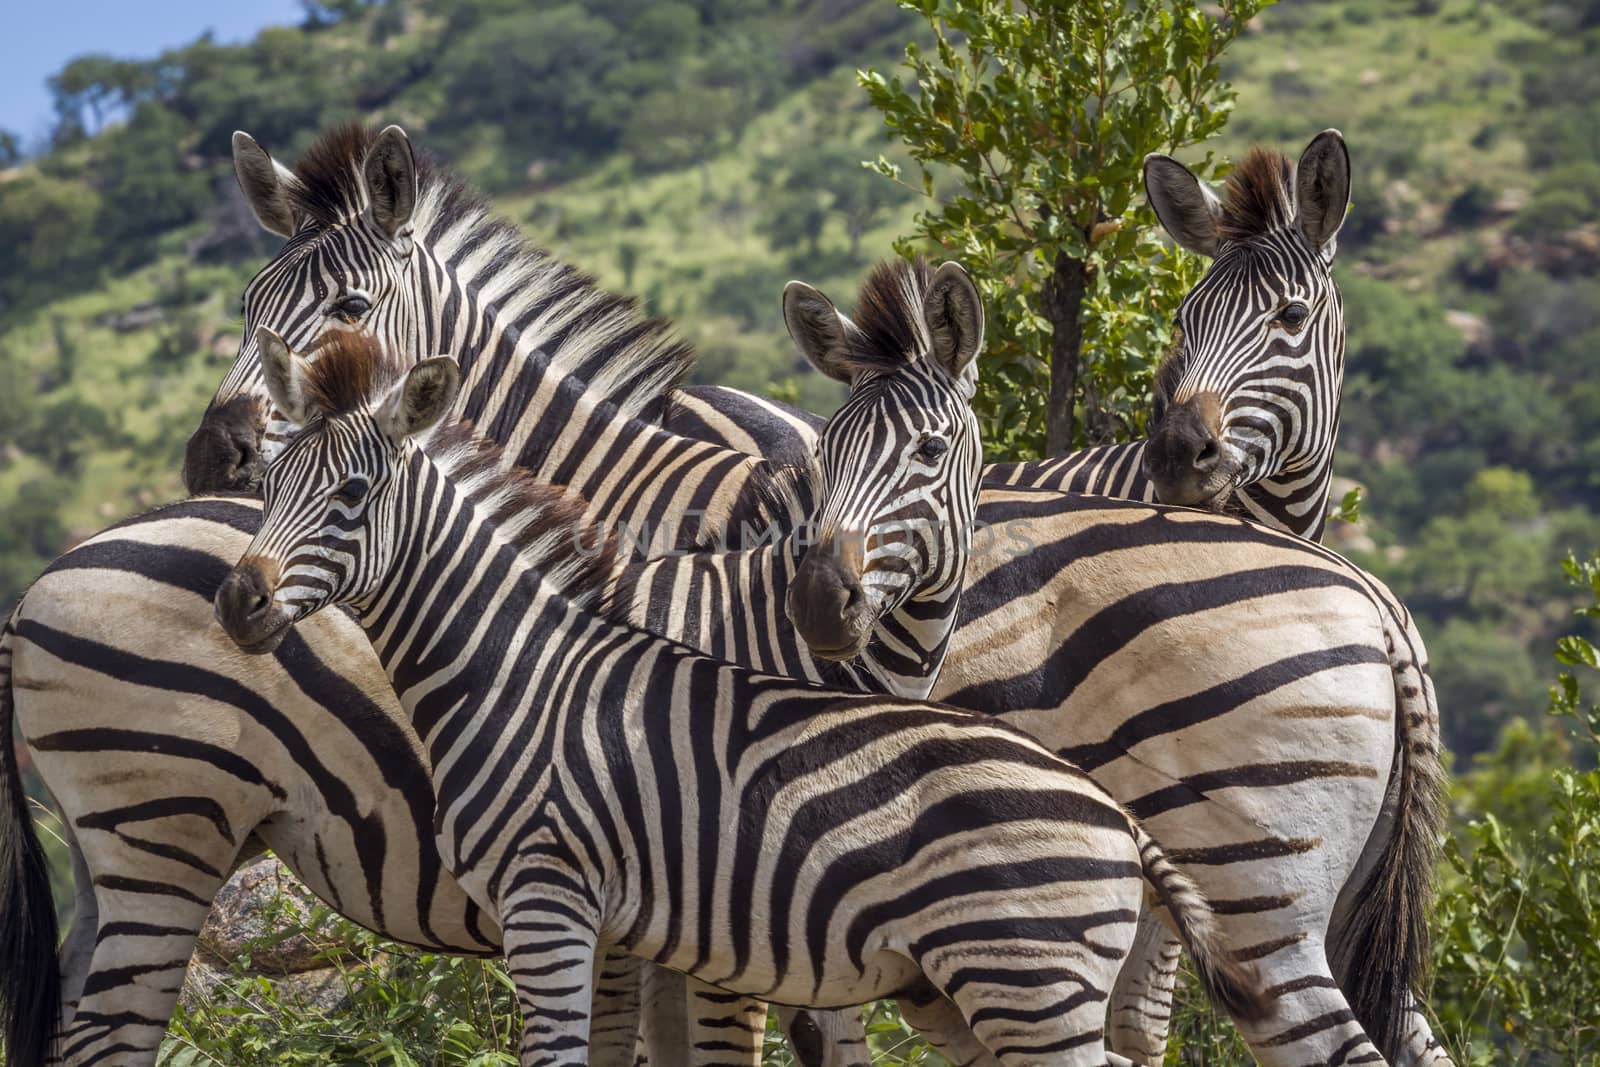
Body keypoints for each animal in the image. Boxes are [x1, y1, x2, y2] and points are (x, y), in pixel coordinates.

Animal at [209, 329, 1260, 1062]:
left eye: (351, 496)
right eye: (274, 481)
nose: (236, 599)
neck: (517, 670)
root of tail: (1115, 814)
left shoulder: (547, 899)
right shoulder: (610, 921)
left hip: (1031, 987)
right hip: (978, 988)